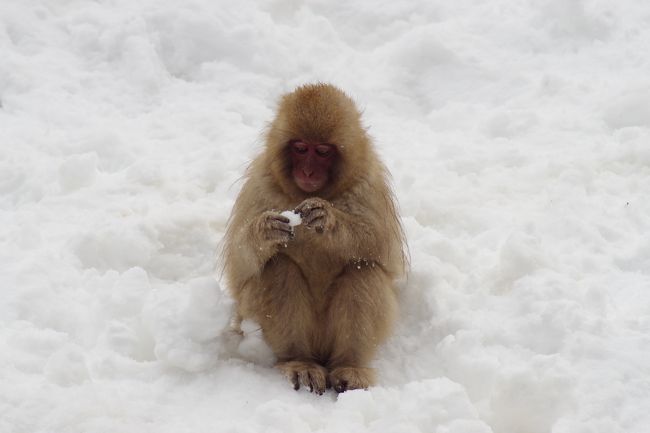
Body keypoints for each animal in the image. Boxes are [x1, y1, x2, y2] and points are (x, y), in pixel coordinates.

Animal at [223, 82, 404, 394]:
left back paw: (350, 367)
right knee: (277, 266)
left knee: (363, 268)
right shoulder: (260, 183)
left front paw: (328, 219)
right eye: (300, 148)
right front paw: (264, 231)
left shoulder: (369, 184)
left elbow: (384, 248)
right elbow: (239, 268)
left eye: (321, 151)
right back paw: (299, 362)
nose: (307, 171)